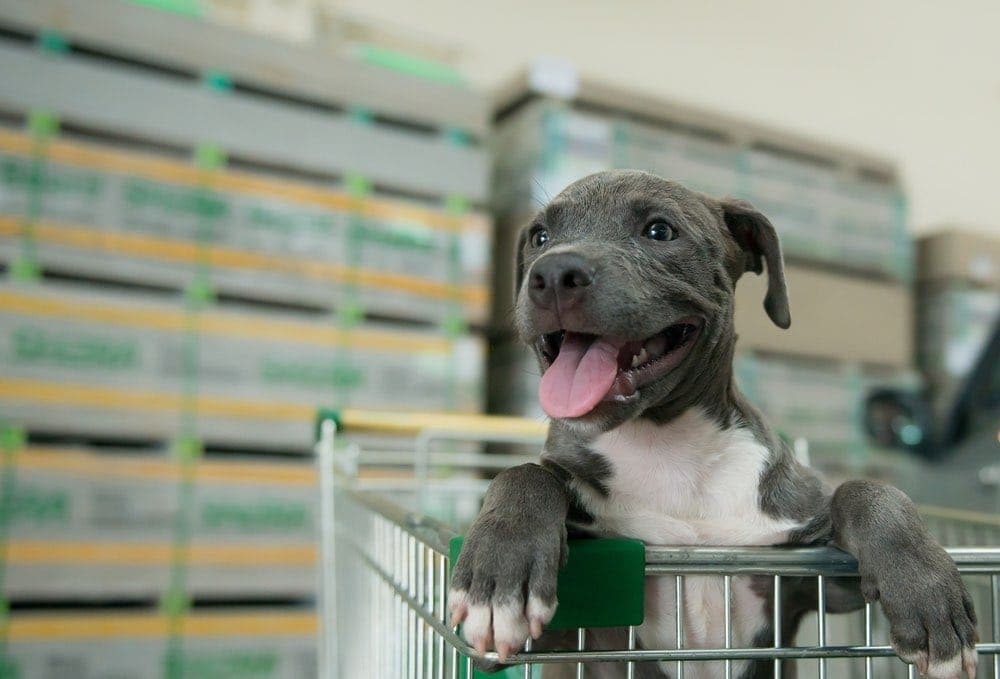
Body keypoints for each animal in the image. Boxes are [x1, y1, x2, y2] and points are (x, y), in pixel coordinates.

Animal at [450, 171, 980, 679]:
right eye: (540, 236)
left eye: (660, 231)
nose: (554, 273)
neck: (666, 445)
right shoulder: (556, 640)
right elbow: (525, 475)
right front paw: (498, 579)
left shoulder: (813, 578)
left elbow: (869, 492)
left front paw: (926, 593)